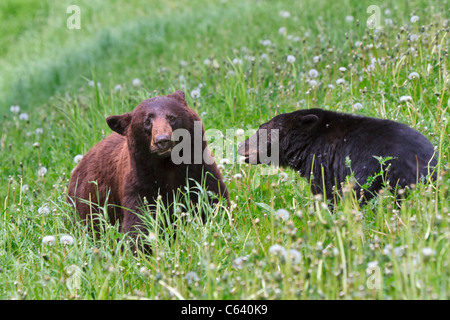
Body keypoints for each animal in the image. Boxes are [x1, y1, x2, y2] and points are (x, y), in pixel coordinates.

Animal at [67, 90, 229, 240]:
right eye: (147, 121)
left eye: (172, 117)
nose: (162, 140)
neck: (168, 165)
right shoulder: (139, 184)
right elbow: (139, 222)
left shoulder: (200, 171)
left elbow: (214, 200)